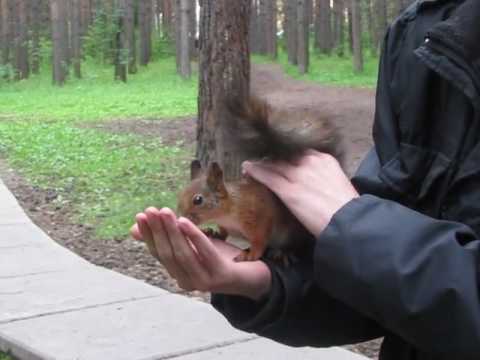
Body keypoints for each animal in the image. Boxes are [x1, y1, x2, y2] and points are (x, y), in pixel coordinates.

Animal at [178, 96, 344, 262]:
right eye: (181, 195)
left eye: (198, 200)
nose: (181, 217)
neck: (227, 211)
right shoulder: (226, 225)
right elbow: (224, 233)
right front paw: (214, 233)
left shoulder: (258, 217)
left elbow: (259, 241)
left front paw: (250, 254)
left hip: (291, 233)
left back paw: (283, 252)